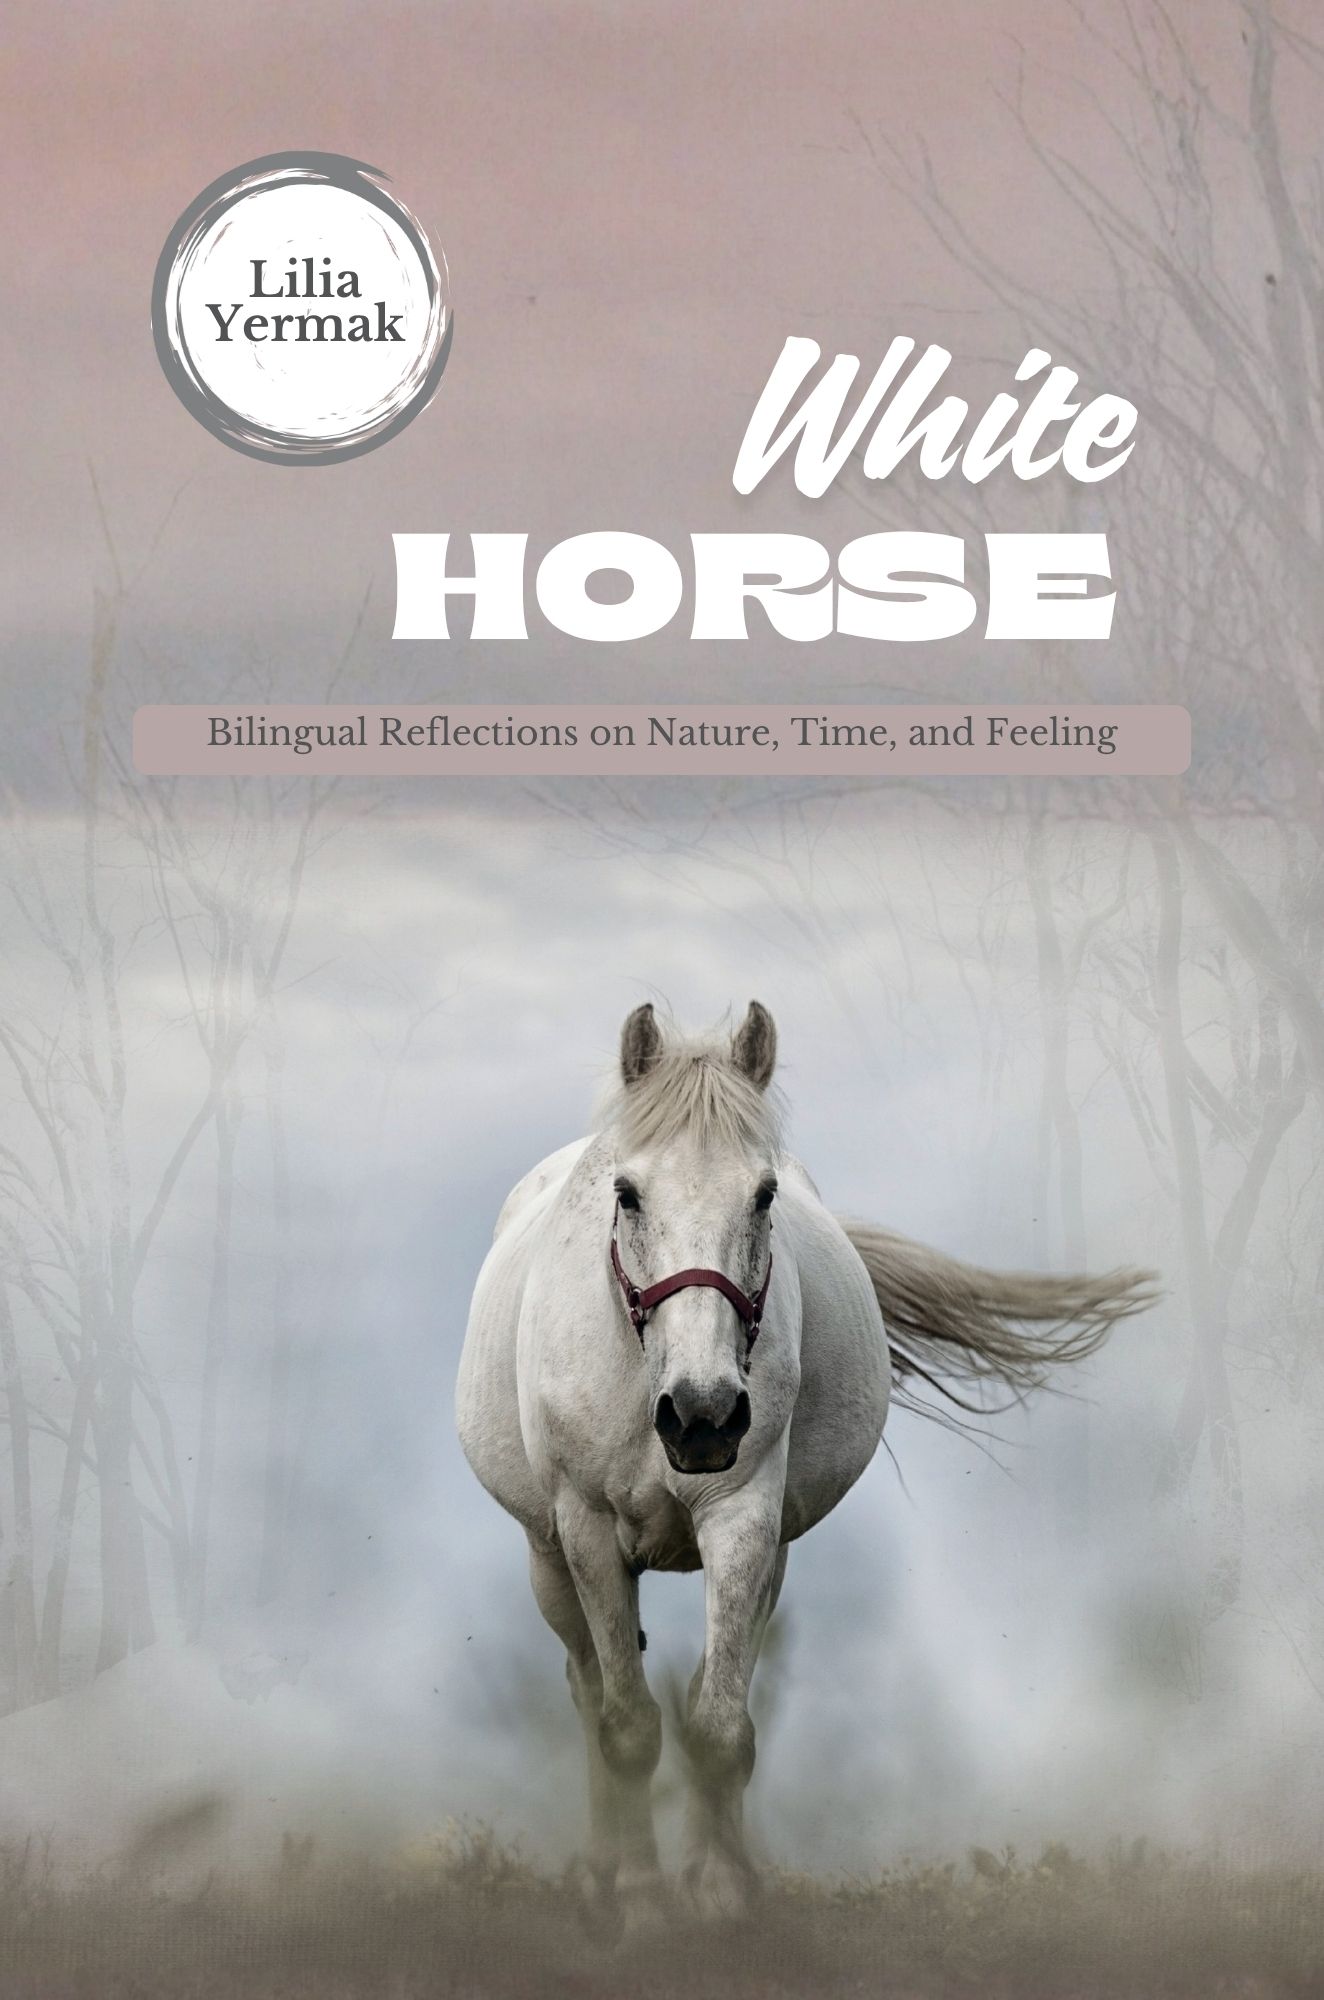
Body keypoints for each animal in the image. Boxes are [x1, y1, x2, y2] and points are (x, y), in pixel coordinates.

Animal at [456, 1001, 1154, 1929]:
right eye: (627, 1192)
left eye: (763, 1194)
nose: (703, 1415)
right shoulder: (590, 1532)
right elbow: (628, 1727)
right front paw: (640, 1903)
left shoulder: (745, 1519)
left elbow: (719, 1727)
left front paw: (720, 1894)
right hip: (548, 1558)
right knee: (586, 1688)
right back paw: (604, 1872)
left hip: (769, 1558)